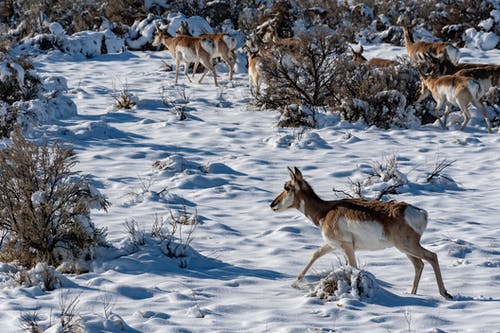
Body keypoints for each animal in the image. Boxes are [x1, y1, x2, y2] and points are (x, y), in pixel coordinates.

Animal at [272, 166, 452, 298]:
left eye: (287, 187)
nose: (272, 204)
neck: (326, 211)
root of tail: (419, 212)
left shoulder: (347, 247)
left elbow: (353, 267)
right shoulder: (331, 245)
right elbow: (315, 255)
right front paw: (294, 283)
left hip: (407, 246)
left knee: (432, 256)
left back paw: (444, 293)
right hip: (405, 249)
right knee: (419, 264)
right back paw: (412, 293)